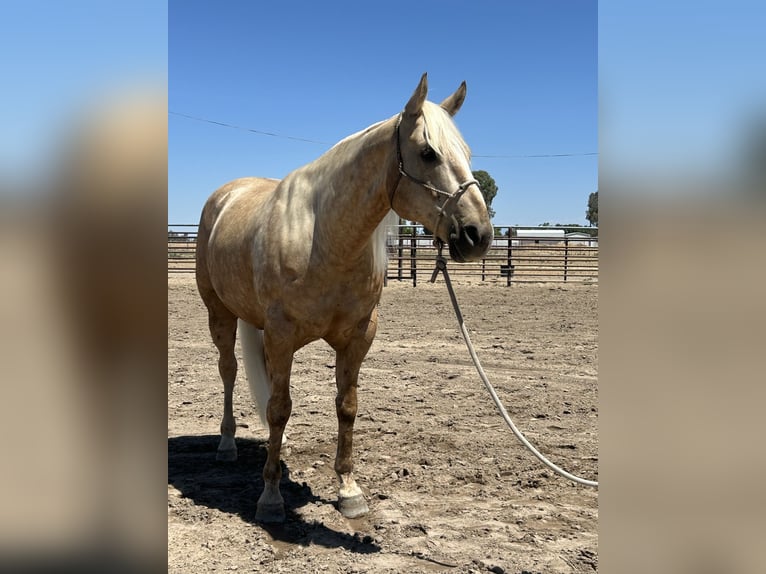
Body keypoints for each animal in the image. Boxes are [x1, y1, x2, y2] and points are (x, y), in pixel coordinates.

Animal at [195, 73, 493, 523]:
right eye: (428, 153)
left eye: (468, 153)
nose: (479, 235)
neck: (323, 239)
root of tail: (225, 195)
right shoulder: (282, 335)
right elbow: (279, 408)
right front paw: (271, 497)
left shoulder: (357, 338)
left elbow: (346, 407)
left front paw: (349, 490)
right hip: (221, 315)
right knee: (229, 372)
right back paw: (227, 444)